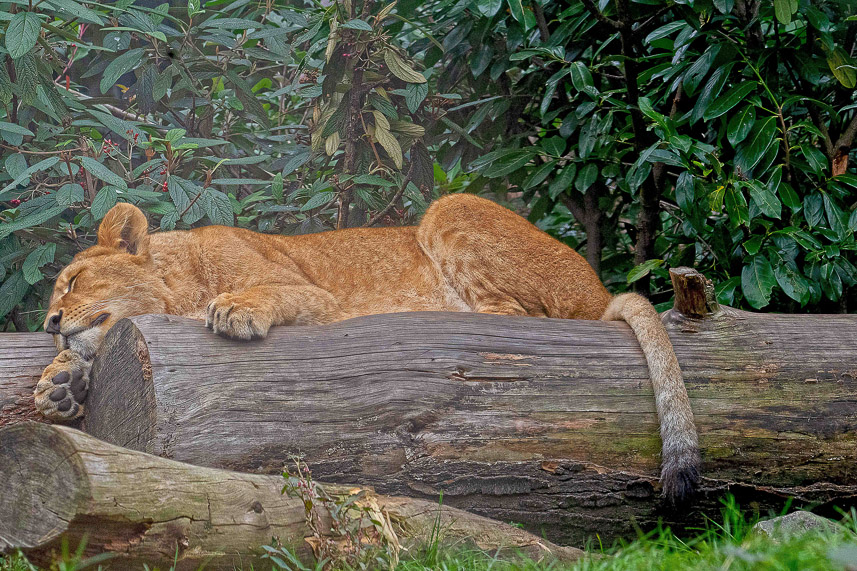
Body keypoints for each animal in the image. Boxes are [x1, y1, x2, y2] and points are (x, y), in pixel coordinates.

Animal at [35, 193, 700, 503]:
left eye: (72, 280)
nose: (48, 321)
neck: (178, 275)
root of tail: (600, 289)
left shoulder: (318, 296)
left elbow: (263, 293)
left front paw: (235, 308)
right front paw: (59, 383)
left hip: (452, 210)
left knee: (517, 318)